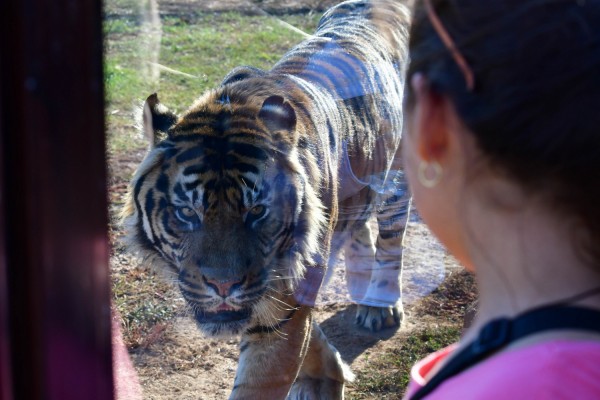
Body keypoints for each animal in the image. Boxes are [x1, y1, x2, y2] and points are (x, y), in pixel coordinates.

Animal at [122, 1, 412, 398]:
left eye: (257, 211)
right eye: (186, 212)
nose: (223, 287)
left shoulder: (283, 301)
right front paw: (326, 373)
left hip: (399, 175)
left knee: (391, 240)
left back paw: (378, 307)